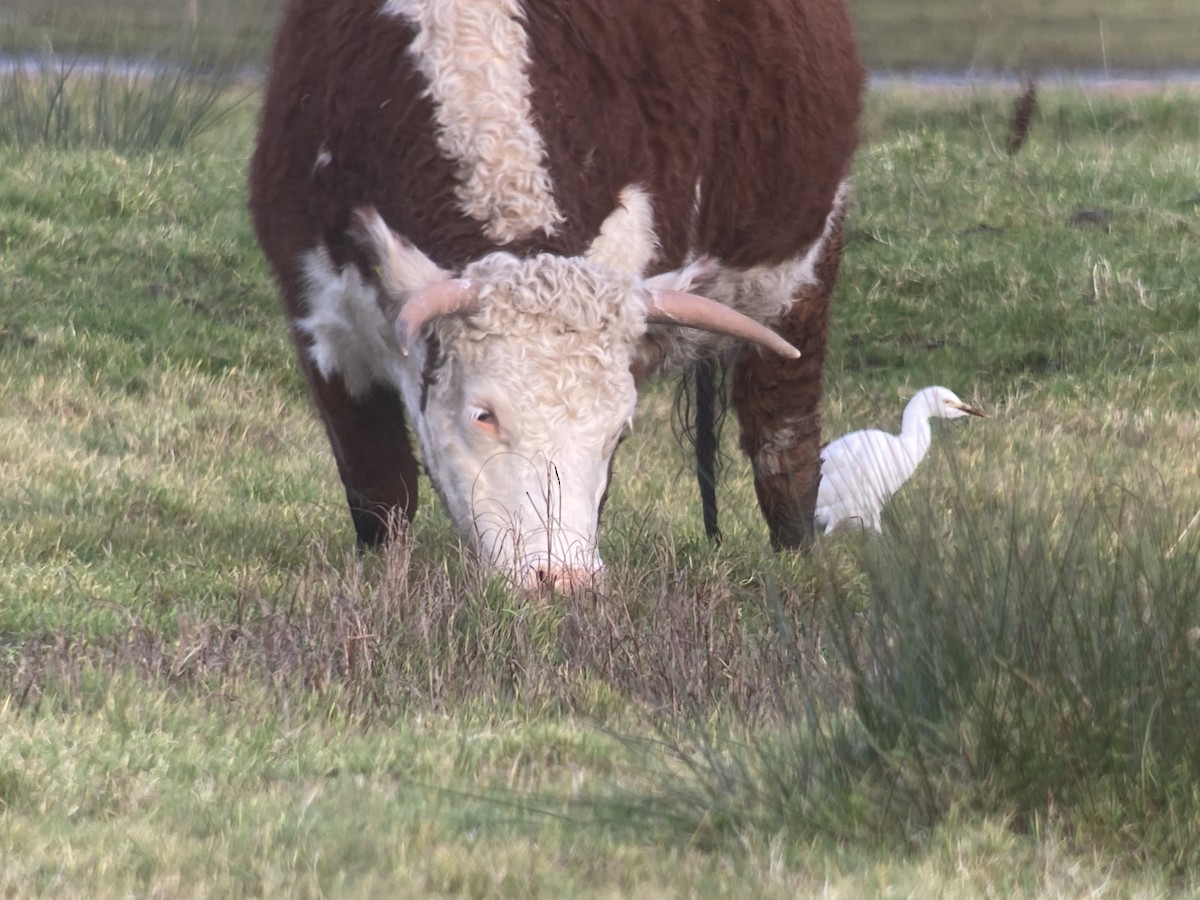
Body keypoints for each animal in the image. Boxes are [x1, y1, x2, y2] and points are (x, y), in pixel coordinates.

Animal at [248, 0, 864, 592]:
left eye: (618, 431)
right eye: (484, 415)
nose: (561, 578)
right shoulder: (323, 326)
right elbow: (379, 491)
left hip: (803, 280)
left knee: (783, 443)